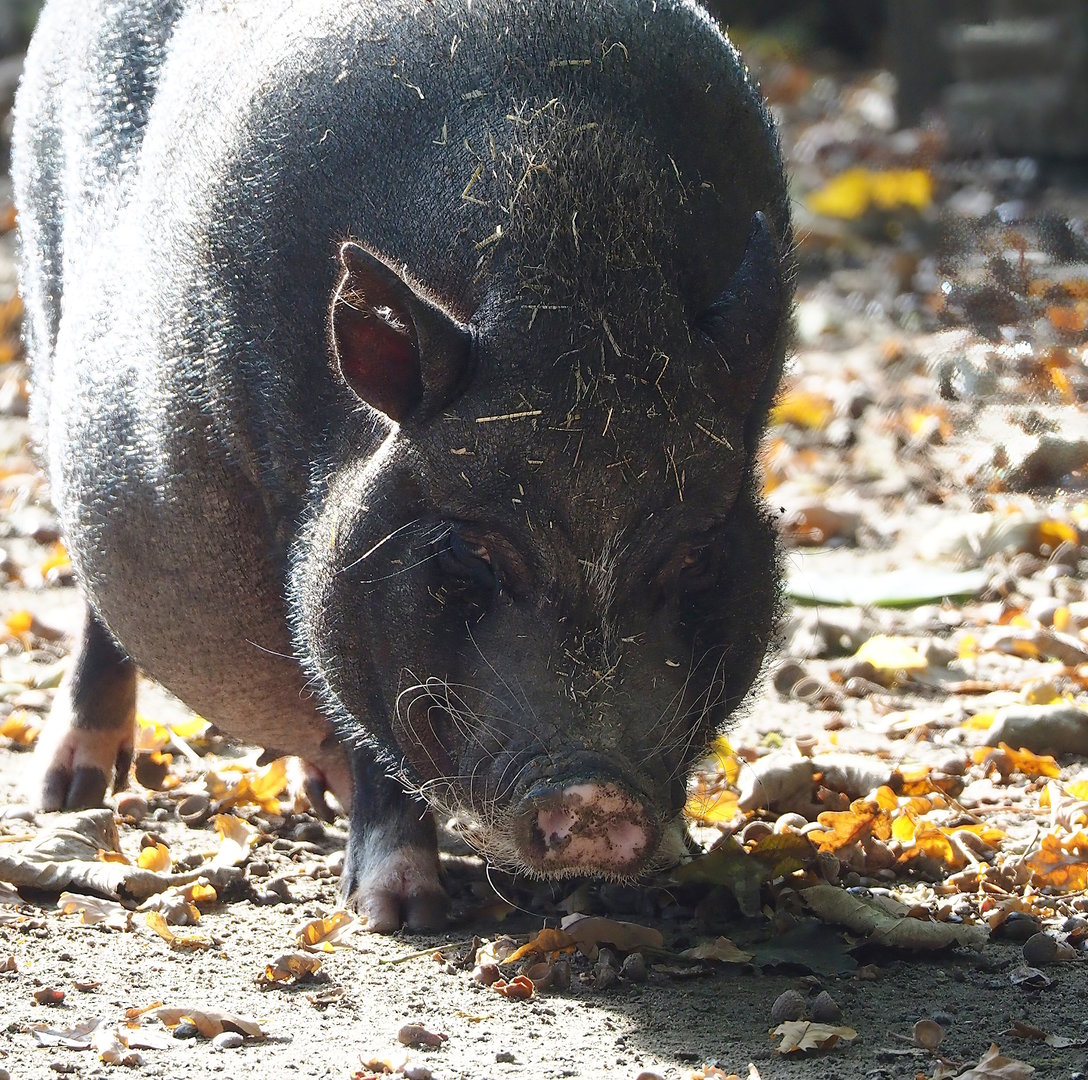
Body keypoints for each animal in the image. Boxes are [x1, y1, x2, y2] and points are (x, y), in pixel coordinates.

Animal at [13, 0, 792, 931]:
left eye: (691, 553)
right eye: (471, 549)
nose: (598, 796)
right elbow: (363, 719)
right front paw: (399, 914)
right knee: (98, 604)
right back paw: (66, 794)